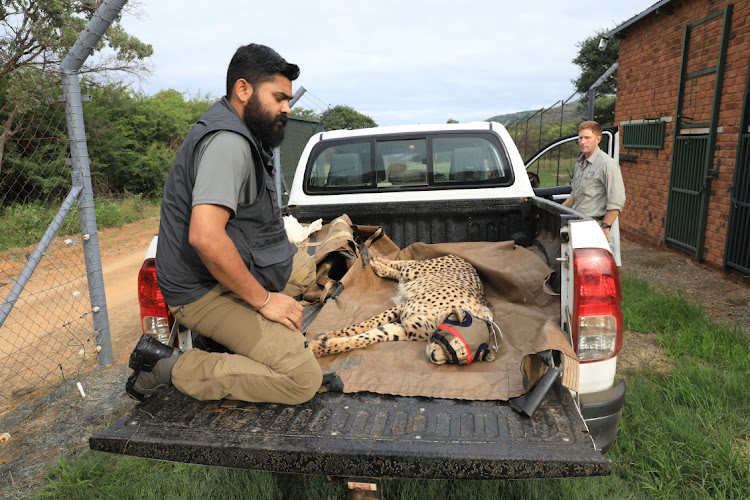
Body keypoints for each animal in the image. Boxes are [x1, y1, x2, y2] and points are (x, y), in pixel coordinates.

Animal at [308, 256, 496, 358]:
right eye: (454, 345)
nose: (435, 356)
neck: (440, 319)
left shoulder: (402, 329)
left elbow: (366, 338)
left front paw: (321, 346)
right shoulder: (402, 307)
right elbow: (366, 324)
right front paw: (331, 334)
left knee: (399, 272)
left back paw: (379, 265)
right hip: (415, 270)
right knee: (404, 265)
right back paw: (377, 261)